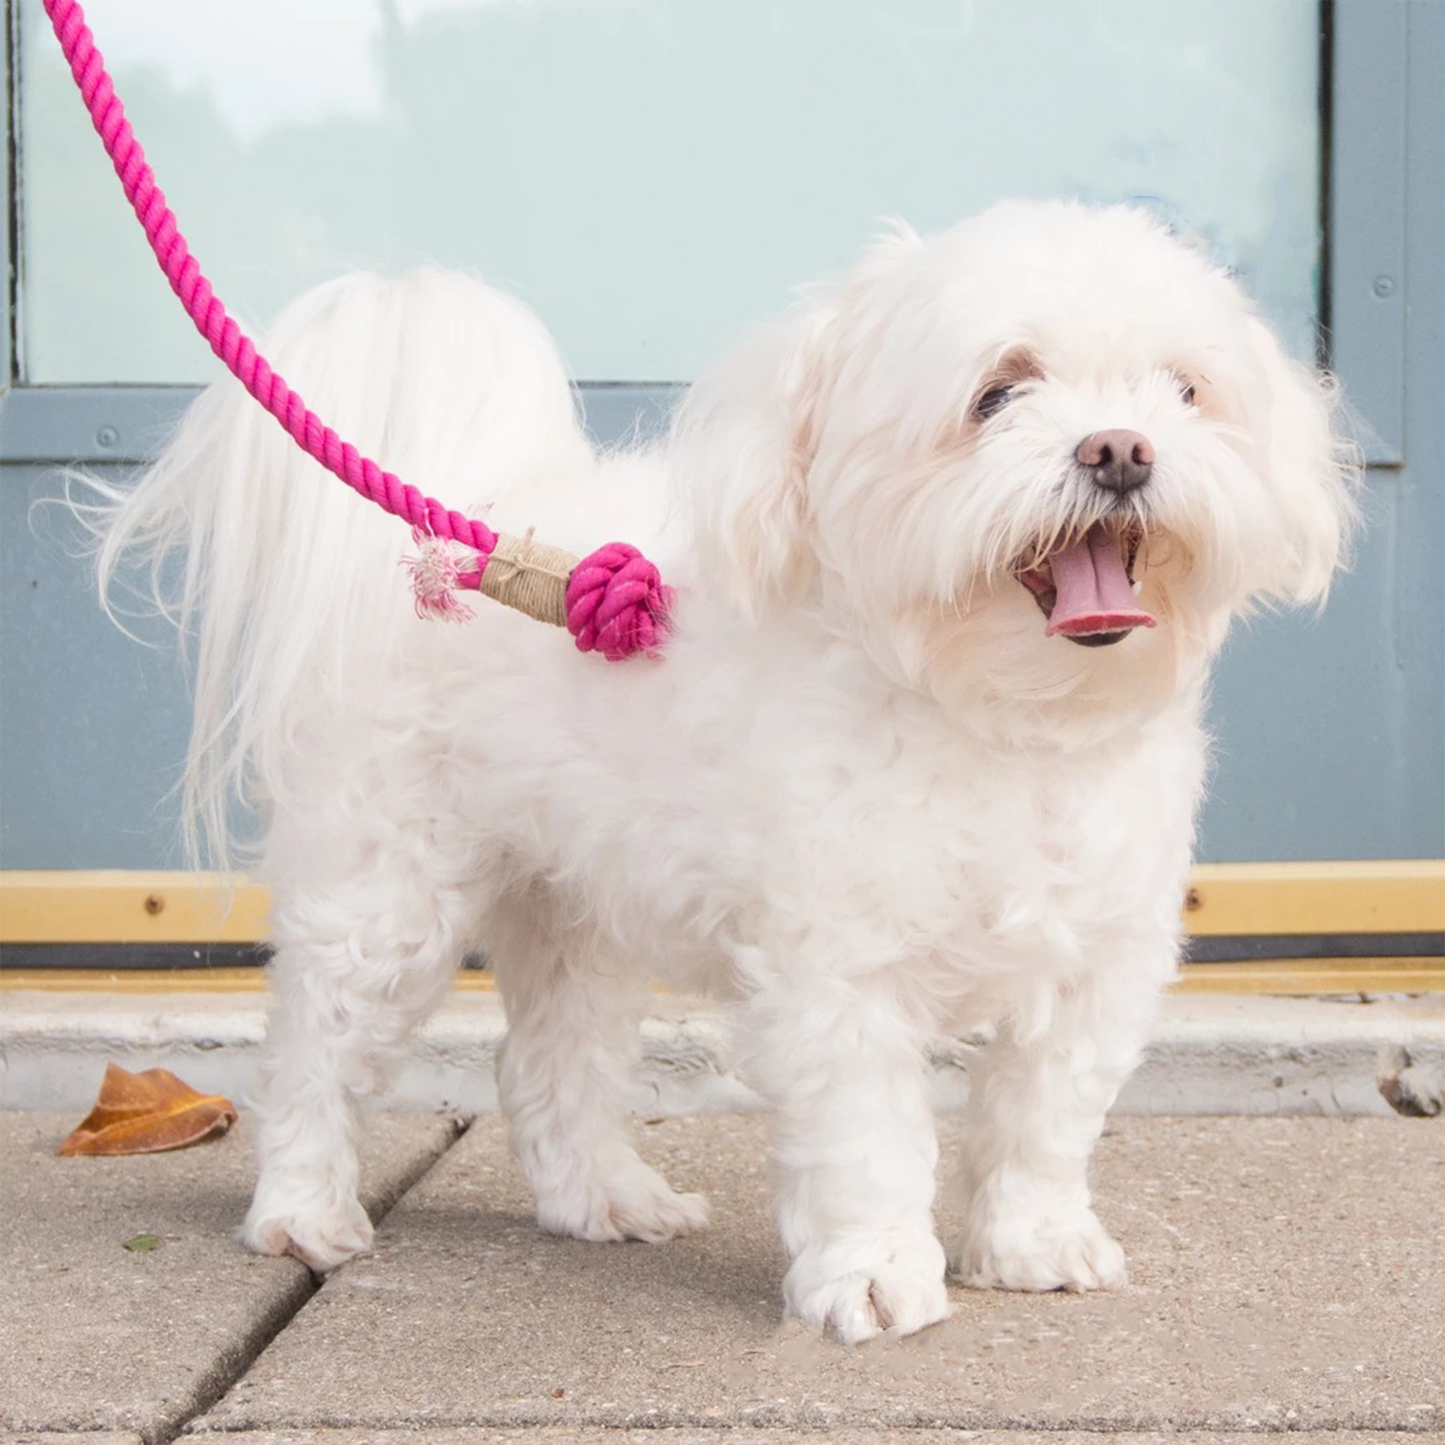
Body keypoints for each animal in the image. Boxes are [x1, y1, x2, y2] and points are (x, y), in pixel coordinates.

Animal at [98, 200, 1352, 1340]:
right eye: (997, 391)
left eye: (1181, 391)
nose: (1119, 449)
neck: (998, 718)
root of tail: (464, 525)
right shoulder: (838, 970)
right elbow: (866, 1135)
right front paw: (875, 1275)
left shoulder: (1095, 956)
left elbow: (1043, 1115)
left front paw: (1031, 1242)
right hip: (388, 889)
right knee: (317, 1044)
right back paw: (302, 1210)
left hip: (576, 898)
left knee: (546, 1061)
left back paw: (603, 1195)